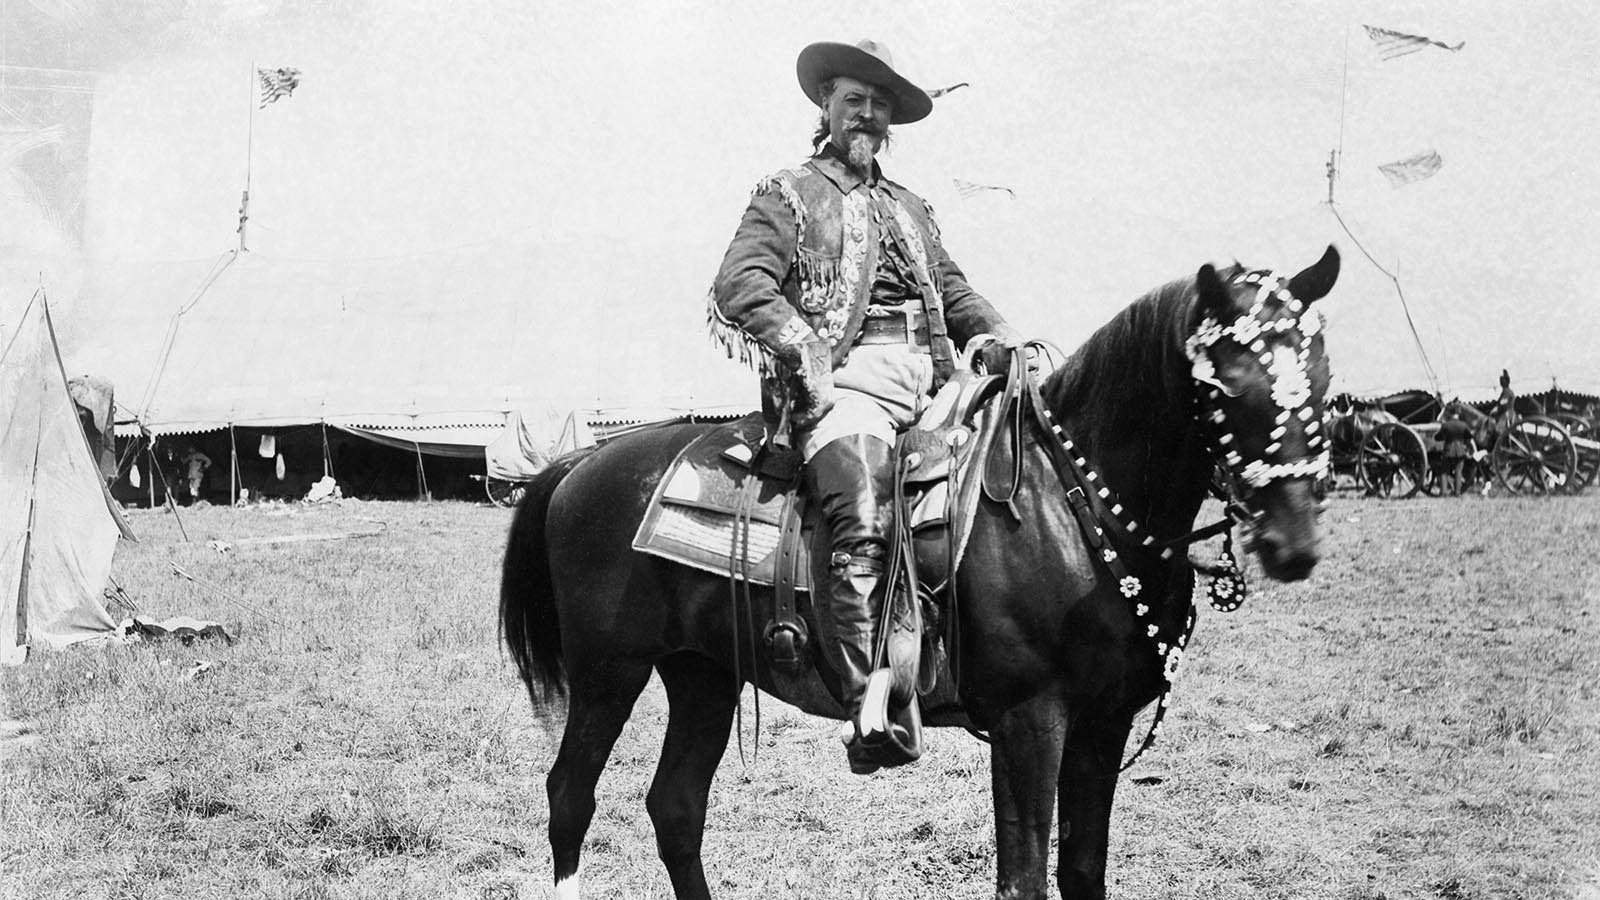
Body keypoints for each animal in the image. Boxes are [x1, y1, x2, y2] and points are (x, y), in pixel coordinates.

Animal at [499, 245, 1337, 896]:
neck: (1068, 504)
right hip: (609, 673)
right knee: (570, 797)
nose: (1293, 541)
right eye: (1224, 381)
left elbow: (1083, 874)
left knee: (675, 809)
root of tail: (582, 463)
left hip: (702, 675)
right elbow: (1023, 879)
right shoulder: (1029, 722)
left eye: (1324, 378)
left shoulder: (1102, 725)